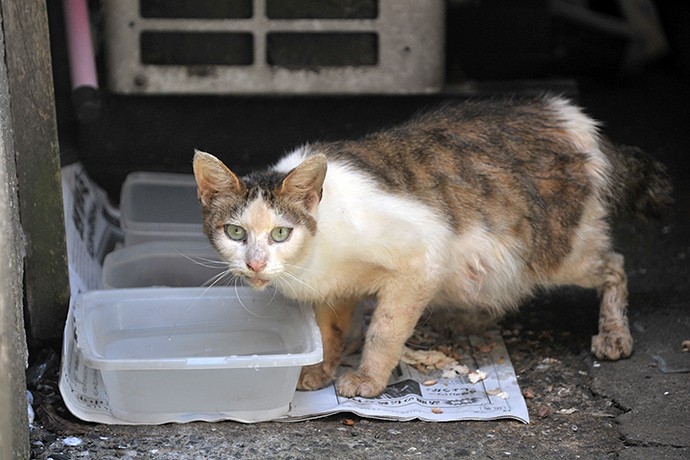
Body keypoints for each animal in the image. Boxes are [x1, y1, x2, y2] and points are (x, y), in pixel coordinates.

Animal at [191, 96, 668, 398]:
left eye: (280, 234)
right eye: (235, 233)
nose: (255, 264)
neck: (318, 250)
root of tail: (577, 121)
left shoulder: (422, 258)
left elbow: (385, 329)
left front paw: (368, 378)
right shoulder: (334, 290)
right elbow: (329, 332)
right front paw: (322, 369)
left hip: (558, 248)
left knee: (614, 264)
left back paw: (614, 333)